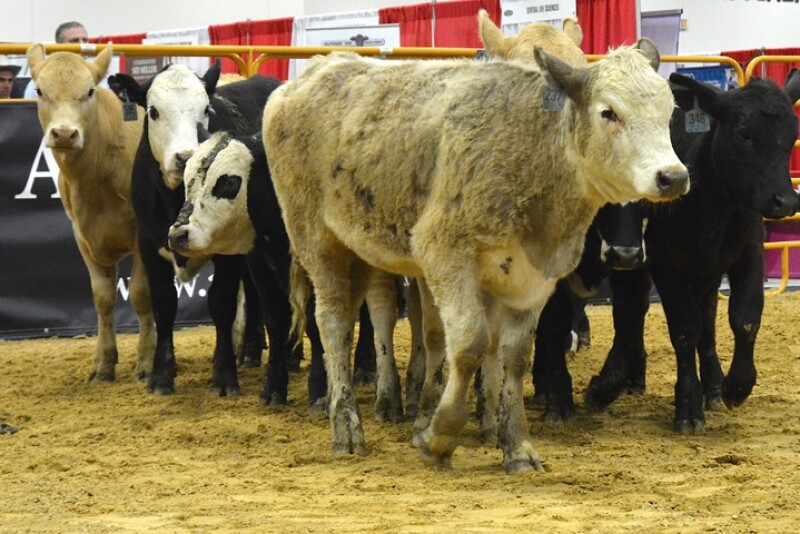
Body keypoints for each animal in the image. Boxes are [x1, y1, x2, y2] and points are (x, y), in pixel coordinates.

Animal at [26, 43, 155, 382]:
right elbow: (103, 298)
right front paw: (103, 362)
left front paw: (147, 361)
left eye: (89, 91)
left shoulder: (143, 235)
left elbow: (141, 294)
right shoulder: (82, 236)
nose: (64, 134)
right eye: (40, 91)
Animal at [107, 63, 282, 400]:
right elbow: (164, 304)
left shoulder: (228, 253)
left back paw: (250, 351)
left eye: (205, 110)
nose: (185, 156)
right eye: (153, 111)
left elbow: (221, 303)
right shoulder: (149, 245)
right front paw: (162, 375)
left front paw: (224, 374)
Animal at [166, 131, 405, 420]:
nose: (178, 235)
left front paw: (320, 390)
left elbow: (315, 322)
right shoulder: (260, 260)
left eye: (228, 182)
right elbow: (276, 320)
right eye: (187, 181)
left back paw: (366, 368)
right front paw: (274, 388)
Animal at [263, 46, 689, 472]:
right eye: (609, 112)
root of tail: (317, 68)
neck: (532, 149)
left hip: (361, 248)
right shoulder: (445, 254)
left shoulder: (531, 278)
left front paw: (517, 446)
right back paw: (347, 428)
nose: (673, 177)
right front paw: (438, 435)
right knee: (334, 324)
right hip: (318, 241)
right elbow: (469, 345)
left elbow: (514, 356)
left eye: (669, 112)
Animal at [584, 70, 800, 434]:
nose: (784, 201)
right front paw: (688, 405)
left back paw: (710, 384)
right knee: (633, 311)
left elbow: (744, 317)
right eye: (743, 133)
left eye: (791, 135)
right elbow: (685, 328)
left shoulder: (750, 254)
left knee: (706, 317)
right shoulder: (665, 264)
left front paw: (735, 385)